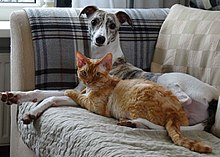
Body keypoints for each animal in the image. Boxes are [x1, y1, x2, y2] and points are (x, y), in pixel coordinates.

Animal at [0, 5, 219, 129]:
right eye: (94, 21)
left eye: (112, 25)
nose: (100, 39)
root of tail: (213, 100)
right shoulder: (78, 92)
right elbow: (42, 93)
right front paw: (16, 96)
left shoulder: (88, 98)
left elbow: (51, 97)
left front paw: (32, 113)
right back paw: (134, 122)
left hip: (168, 80)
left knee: (181, 97)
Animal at [64, 51, 212, 153]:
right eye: (84, 73)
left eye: (97, 74)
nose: (88, 82)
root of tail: (173, 113)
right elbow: (82, 93)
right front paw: (80, 90)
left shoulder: (96, 106)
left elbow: (80, 97)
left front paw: (69, 91)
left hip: (136, 102)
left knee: (149, 125)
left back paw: (128, 122)